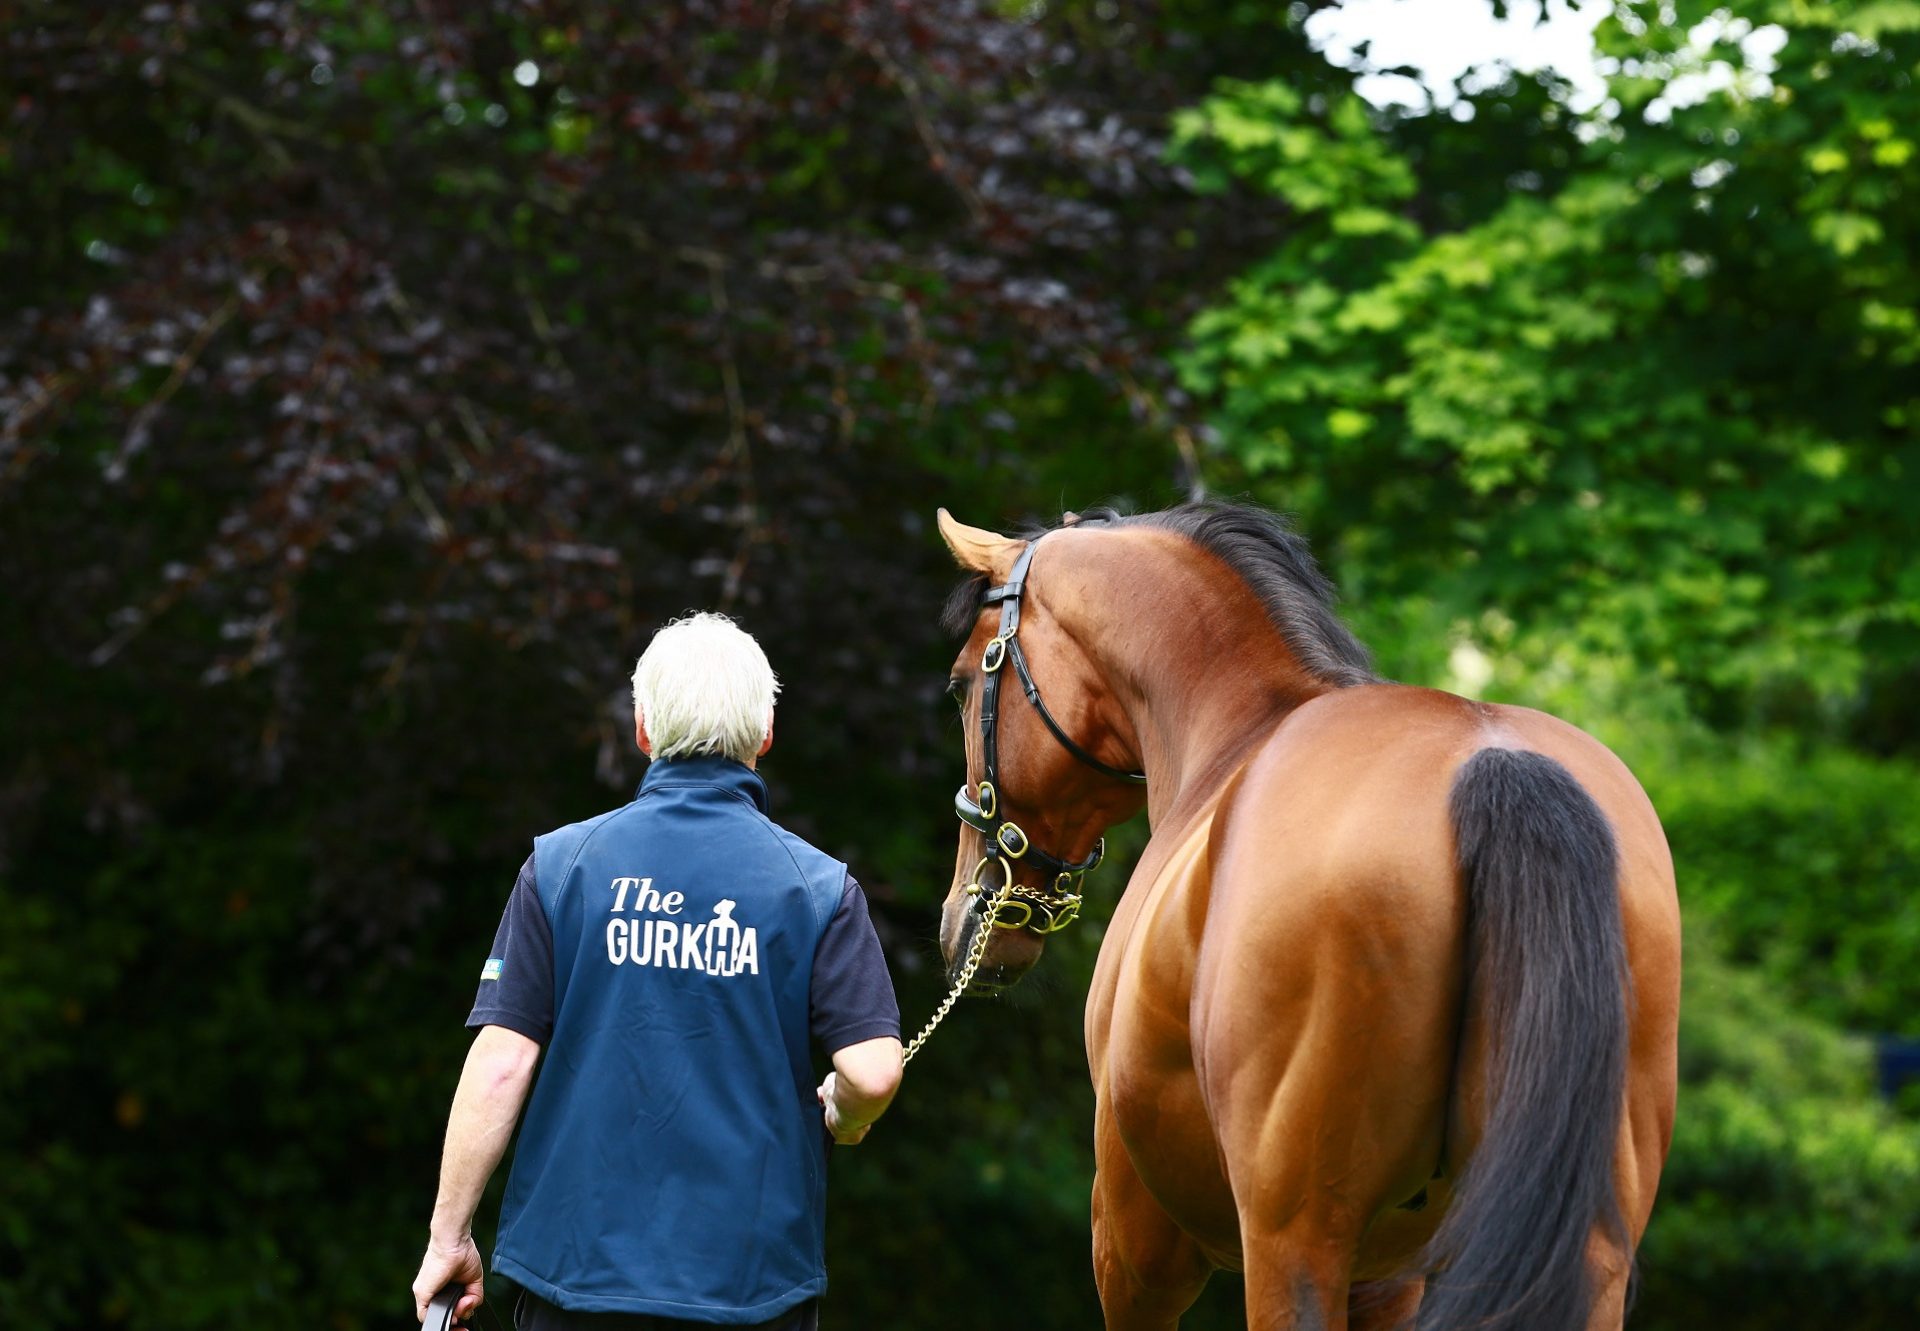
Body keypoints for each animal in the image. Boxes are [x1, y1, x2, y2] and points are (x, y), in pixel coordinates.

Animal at [933, 499, 1681, 1329]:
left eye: (962, 686)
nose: (966, 916)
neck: (1235, 734)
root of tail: (1495, 759)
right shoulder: (1387, 1277)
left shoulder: (1130, 1233)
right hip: (1581, 1249)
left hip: (1291, 1236)